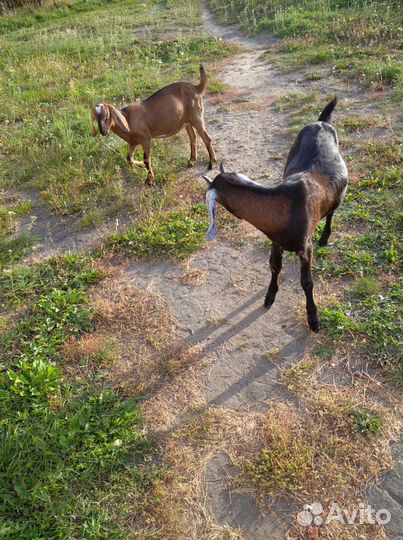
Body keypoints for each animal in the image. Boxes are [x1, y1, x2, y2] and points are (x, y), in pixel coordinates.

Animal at [204, 98, 348, 332]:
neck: (284, 204)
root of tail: (321, 122)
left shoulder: (305, 246)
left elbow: (307, 282)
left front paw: (313, 318)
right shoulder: (275, 240)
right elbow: (274, 266)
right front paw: (269, 297)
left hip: (339, 195)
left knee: (331, 213)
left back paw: (325, 237)